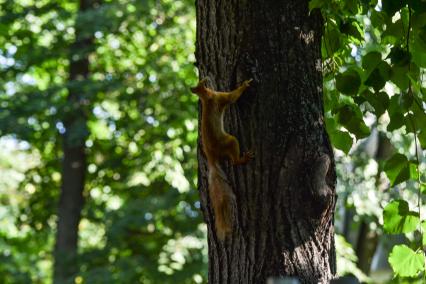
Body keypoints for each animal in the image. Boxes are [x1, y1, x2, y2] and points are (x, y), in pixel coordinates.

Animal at [190, 77, 253, 240]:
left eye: (199, 83)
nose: (206, 79)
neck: (206, 98)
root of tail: (211, 158)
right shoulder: (220, 97)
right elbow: (233, 97)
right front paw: (244, 85)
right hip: (229, 141)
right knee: (234, 160)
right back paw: (243, 159)